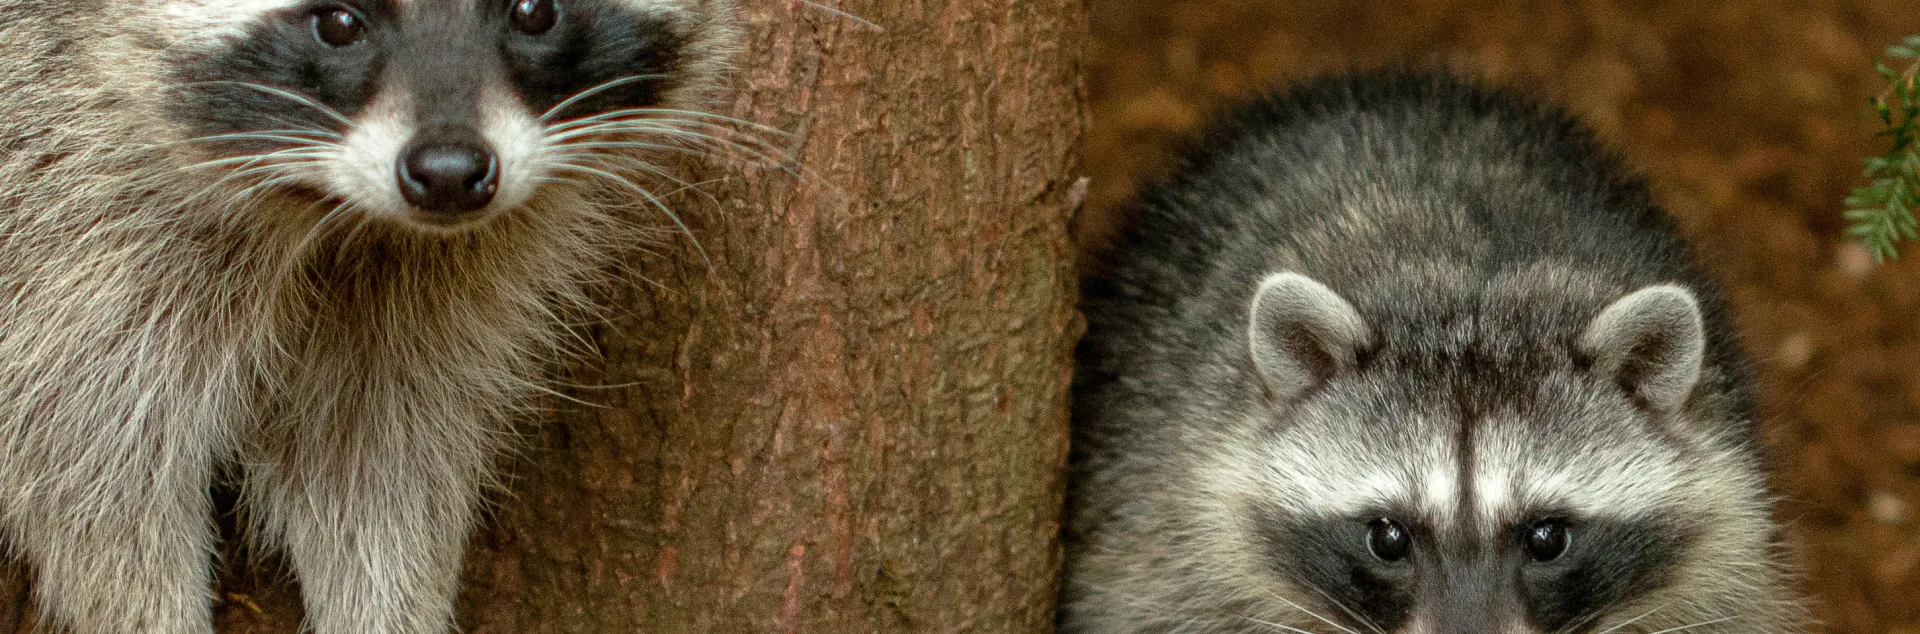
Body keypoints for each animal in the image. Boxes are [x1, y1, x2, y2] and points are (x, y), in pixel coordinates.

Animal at [0, 1, 735, 632]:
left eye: (535, 12)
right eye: (338, 23)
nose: (448, 173)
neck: (338, 213)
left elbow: (376, 465)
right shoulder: (71, 226)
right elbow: (93, 479)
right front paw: (148, 613)